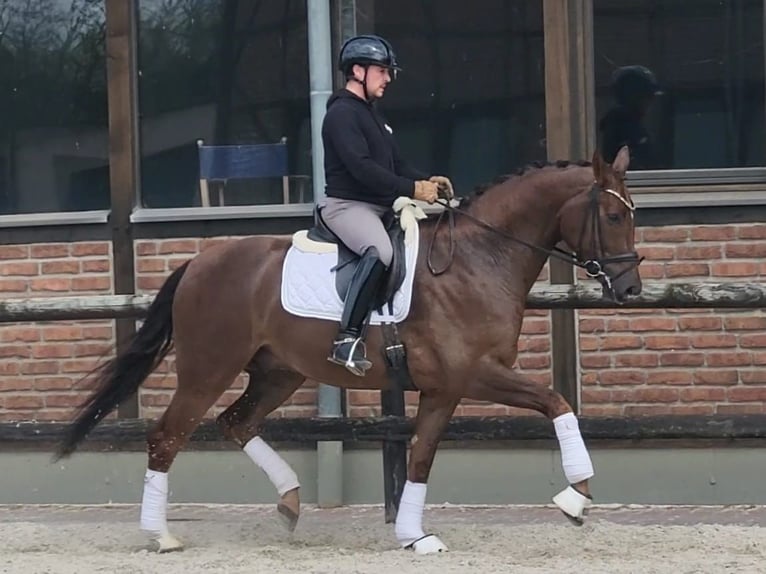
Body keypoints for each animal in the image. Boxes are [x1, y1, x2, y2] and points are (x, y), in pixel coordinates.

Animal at [52, 145, 640, 560]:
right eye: (614, 218)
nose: (631, 289)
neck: (479, 258)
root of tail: (199, 262)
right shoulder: (468, 377)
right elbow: (554, 402)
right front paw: (575, 496)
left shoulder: (444, 388)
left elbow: (423, 455)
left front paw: (413, 535)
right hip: (208, 369)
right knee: (167, 436)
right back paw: (161, 536)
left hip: (278, 373)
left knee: (235, 422)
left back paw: (289, 502)